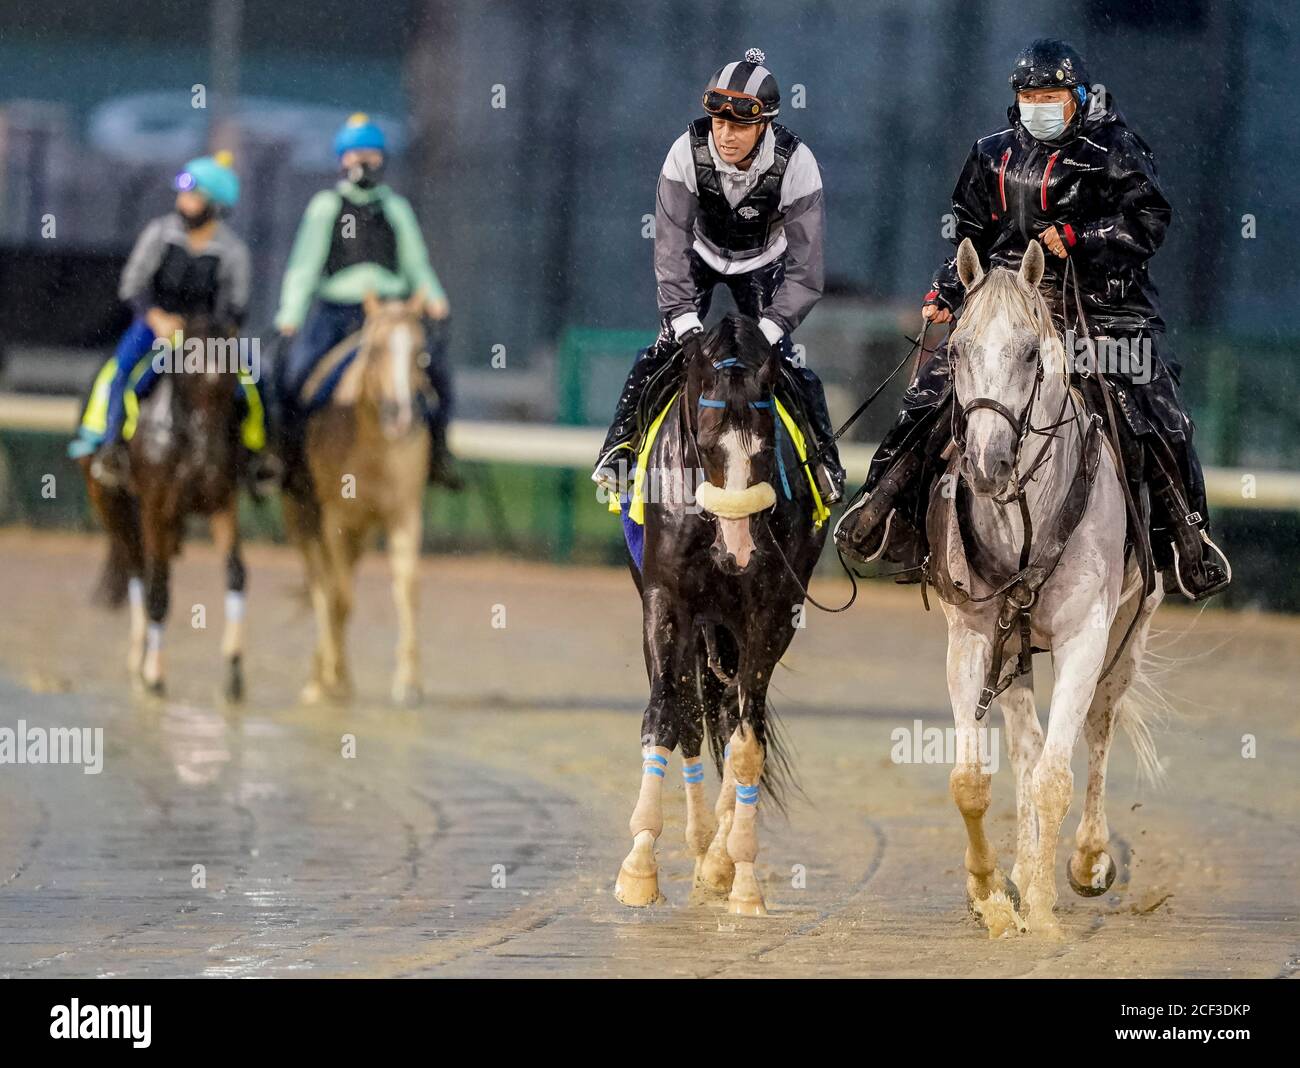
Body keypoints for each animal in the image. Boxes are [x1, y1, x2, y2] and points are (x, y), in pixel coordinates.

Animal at [79, 315, 250, 701]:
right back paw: (139, 655)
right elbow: (155, 589)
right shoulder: (154, 506)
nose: (208, 457)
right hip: (110, 503)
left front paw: (234, 668)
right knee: (137, 569)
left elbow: (235, 572)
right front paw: (154, 674)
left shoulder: (222, 502)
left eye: (231, 381)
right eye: (192, 374)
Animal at [282, 294, 428, 712]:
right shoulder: (335, 519)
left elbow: (407, 589)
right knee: (322, 587)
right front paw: (335, 680)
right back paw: (321, 679)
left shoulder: (405, 514)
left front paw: (408, 684)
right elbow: (340, 598)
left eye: (420, 352)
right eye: (376, 349)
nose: (400, 415)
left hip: (360, 534)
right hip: (302, 521)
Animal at [613, 313, 826, 914]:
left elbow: (747, 741)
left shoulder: (773, 611)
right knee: (691, 710)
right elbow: (667, 715)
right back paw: (702, 841)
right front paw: (639, 866)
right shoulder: (666, 601)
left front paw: (741, 874)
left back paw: (719, 856)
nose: (738, 554)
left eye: (767, 446)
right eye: (705, 445)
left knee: (733, 716)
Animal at [930, 240, 1164, 935]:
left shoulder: (1085, 637)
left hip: (1131, 630)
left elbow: (1058, 774)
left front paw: (1041, 905)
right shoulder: (974, 636)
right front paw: (991, 894)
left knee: (1099, 724)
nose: (987, 463)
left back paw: (1085, 861)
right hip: (1015, 649)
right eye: (957, 350)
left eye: (1031, 353)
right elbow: (974, 779)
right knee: (1028, 749)